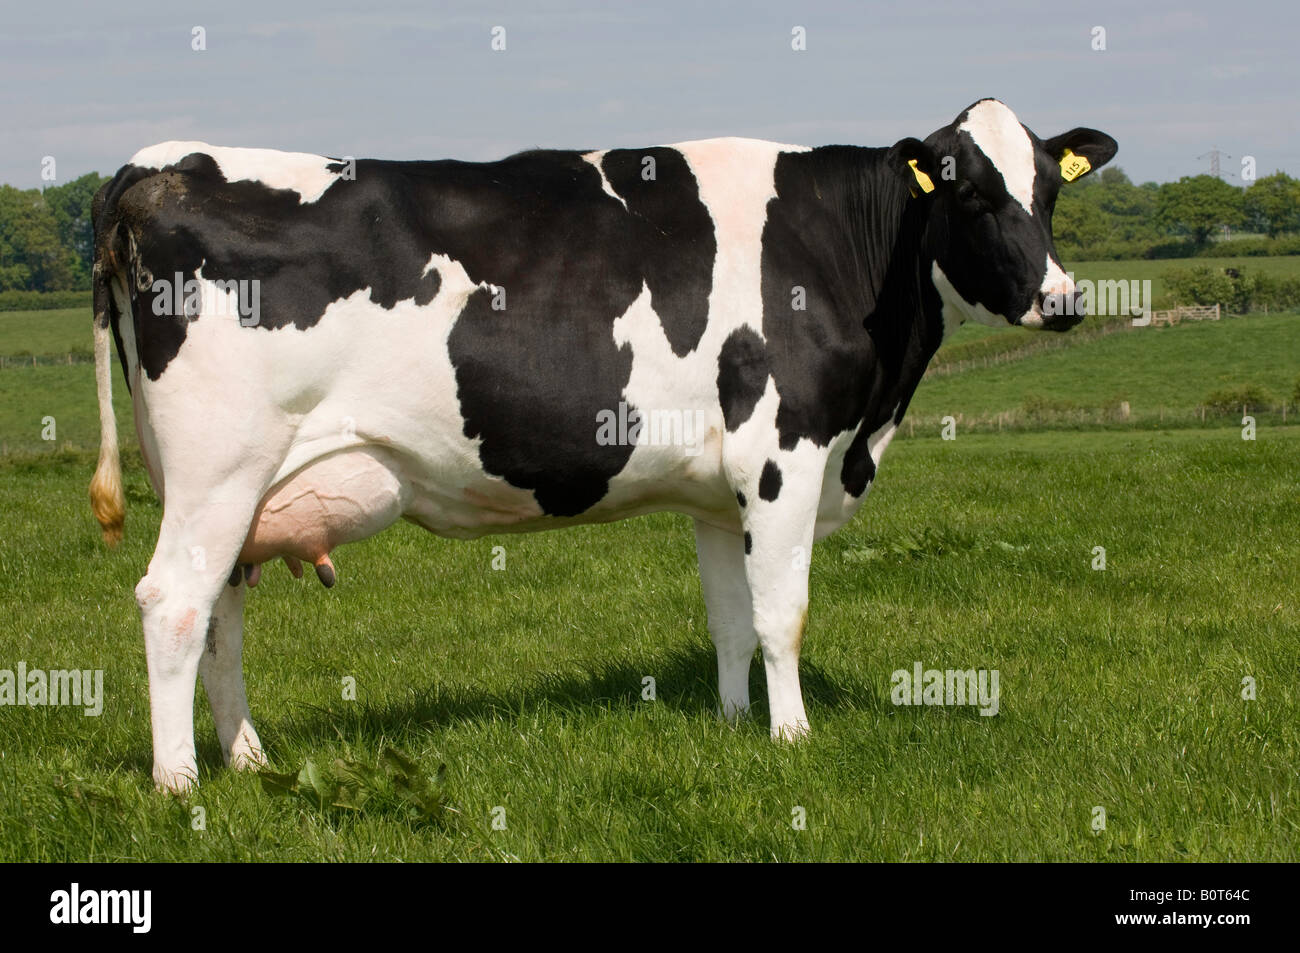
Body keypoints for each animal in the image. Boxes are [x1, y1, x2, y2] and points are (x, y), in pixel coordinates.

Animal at [89, 100, 1118, 790]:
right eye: (966, 190)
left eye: (1046, 191)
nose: (1062, 298)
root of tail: (155, 166)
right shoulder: (784, 456)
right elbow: (782, 614)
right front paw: (792, 739)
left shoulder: (720, 490)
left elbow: (730, 617)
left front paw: (734, 723)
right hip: (218, 468)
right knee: (171, 603)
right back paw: (181, 784)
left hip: (230, 486)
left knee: (221, 613)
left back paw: (248, 758)